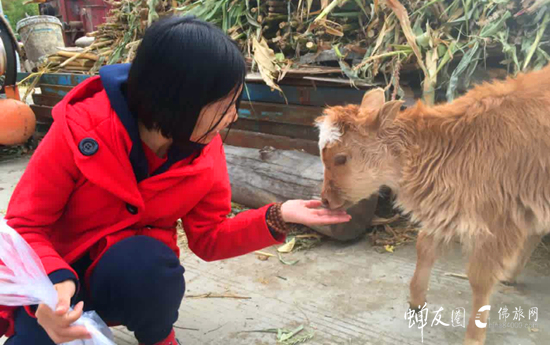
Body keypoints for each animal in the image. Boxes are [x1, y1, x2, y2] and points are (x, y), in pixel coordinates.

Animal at [316, 65, 550, 344]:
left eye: (341, 158)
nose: (325, 199)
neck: (456, 145)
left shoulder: (498, 221)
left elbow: (479, 278)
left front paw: (474, 336)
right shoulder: (446, 208)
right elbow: (425, 246)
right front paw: (416, 301)